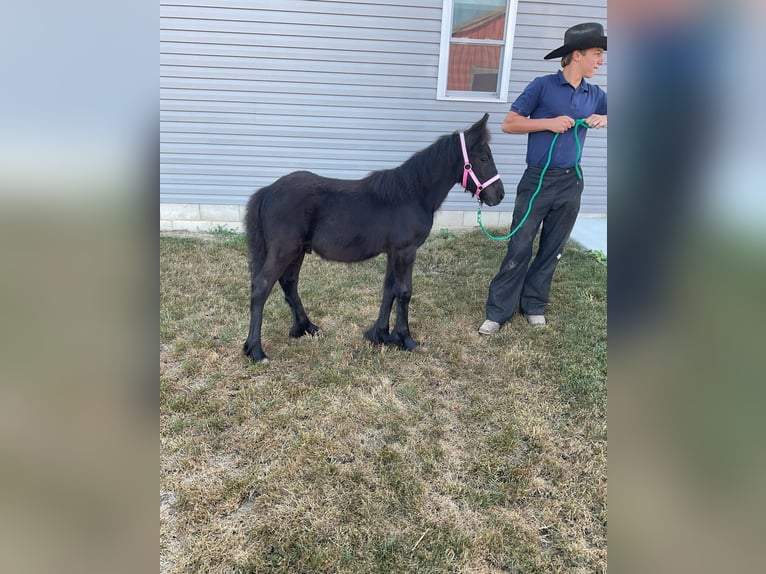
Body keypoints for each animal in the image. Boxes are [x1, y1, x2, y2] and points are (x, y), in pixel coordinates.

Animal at [242, 113, 505, 362]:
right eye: (484, 158)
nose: (499, 195)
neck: (411, 195)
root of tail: (268, 191)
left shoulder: (393, 252)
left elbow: (389, 290)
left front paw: (381, 335)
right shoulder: (406, 251)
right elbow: (404, 292)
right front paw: (406, 339)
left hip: (297, 252)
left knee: (289, 283)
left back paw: (304, 328)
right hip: (284, 250)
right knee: (261, 288)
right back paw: (256, 351)